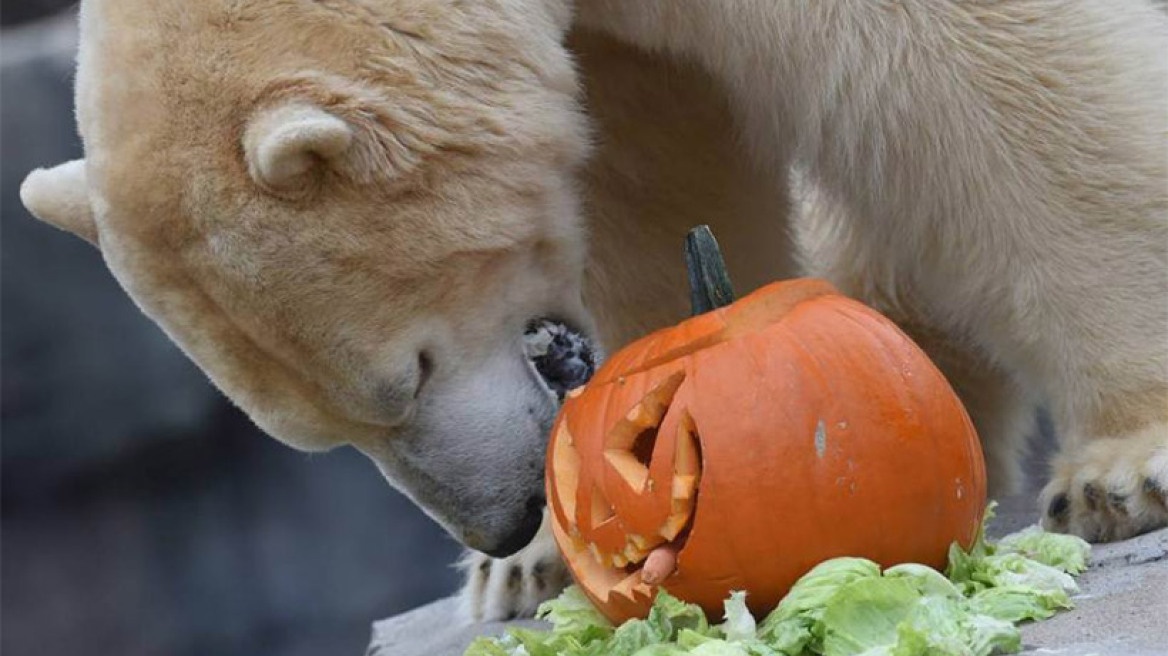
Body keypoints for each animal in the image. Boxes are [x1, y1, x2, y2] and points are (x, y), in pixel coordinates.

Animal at [18, 0, 1168, 616]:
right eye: (324, 435)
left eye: (406, 377)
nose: (503, 517)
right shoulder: (613, 53)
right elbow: (653, 171)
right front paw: (543, 552)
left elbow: (976, 78)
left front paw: (1123, 470)